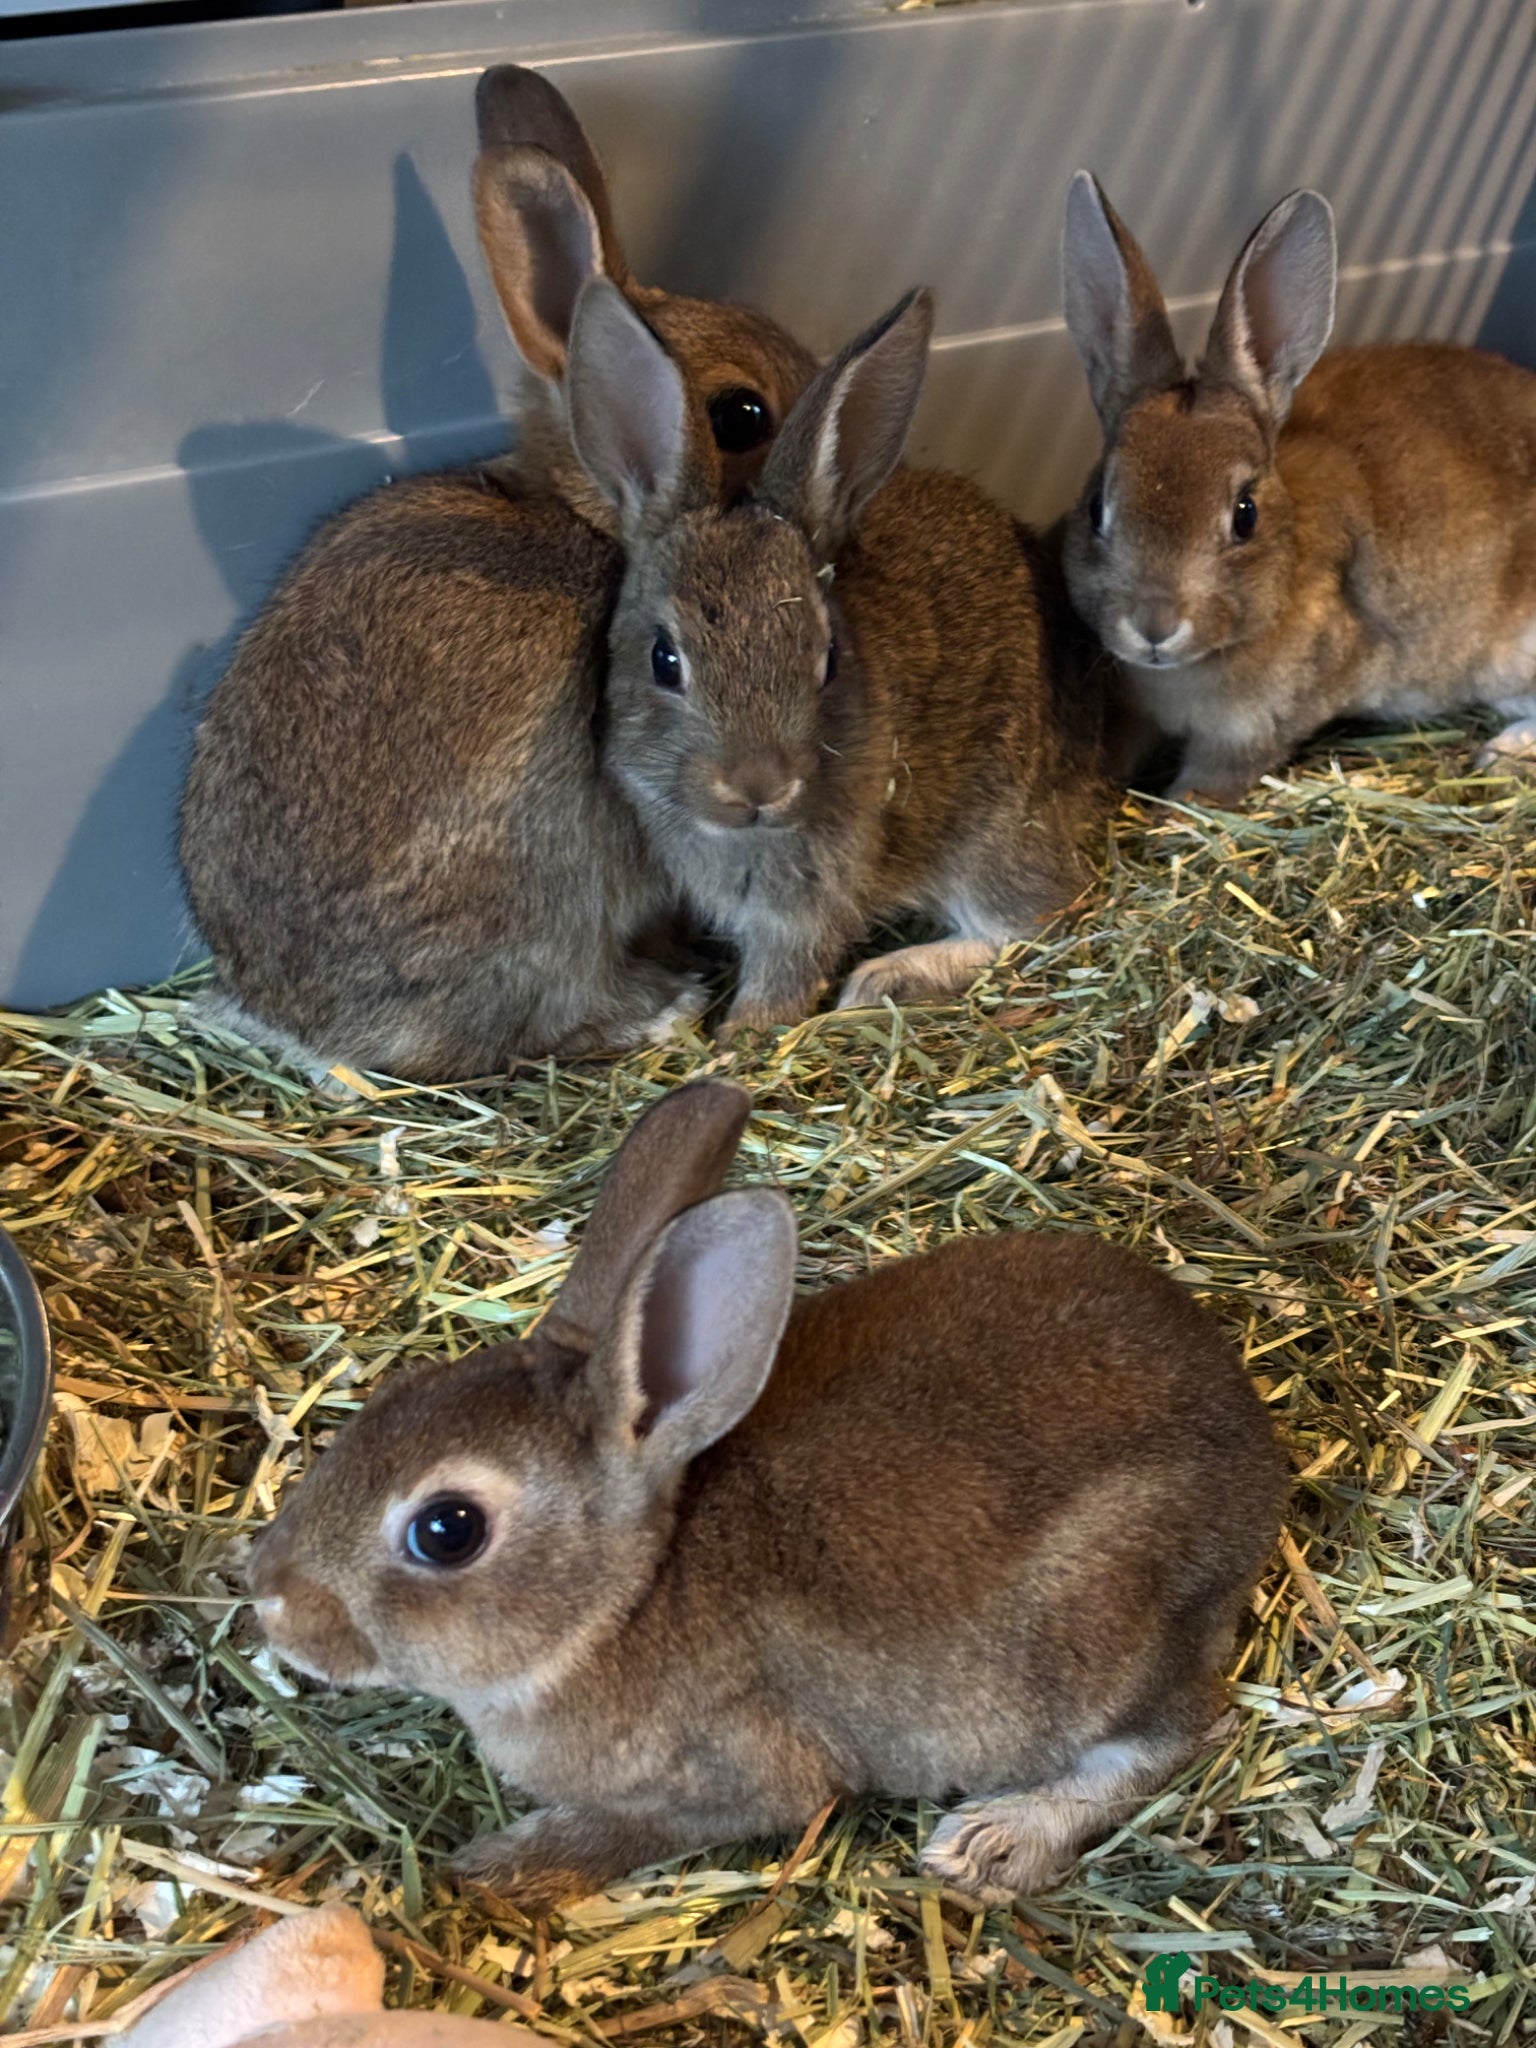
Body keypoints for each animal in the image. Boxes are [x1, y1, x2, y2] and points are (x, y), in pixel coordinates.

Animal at [249, 1077, 1287, 1911]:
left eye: (447, 1529)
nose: (271, 1602)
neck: (623, 1599)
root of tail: (1255, 1446)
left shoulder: (731, 1781)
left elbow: (637, 1829)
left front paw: (496, 1870)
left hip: (1099, 1629)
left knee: (1175, 1734)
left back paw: (993, 1842)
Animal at [560, 275, 1110, 1034]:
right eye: (664, 661)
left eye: (827, 659)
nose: (760, 787)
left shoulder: (808, 904)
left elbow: (788, 973)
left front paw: (741, 1034)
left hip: (997, 831)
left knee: (1040, 915)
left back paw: (886, 978)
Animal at [1058, 173, 1536, 804]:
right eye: (1096, 509)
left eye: (1245, 515)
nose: (1154, 626)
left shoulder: (1250, 732)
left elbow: (1208, 787)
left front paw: (1174, 814)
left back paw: (1502, 752)